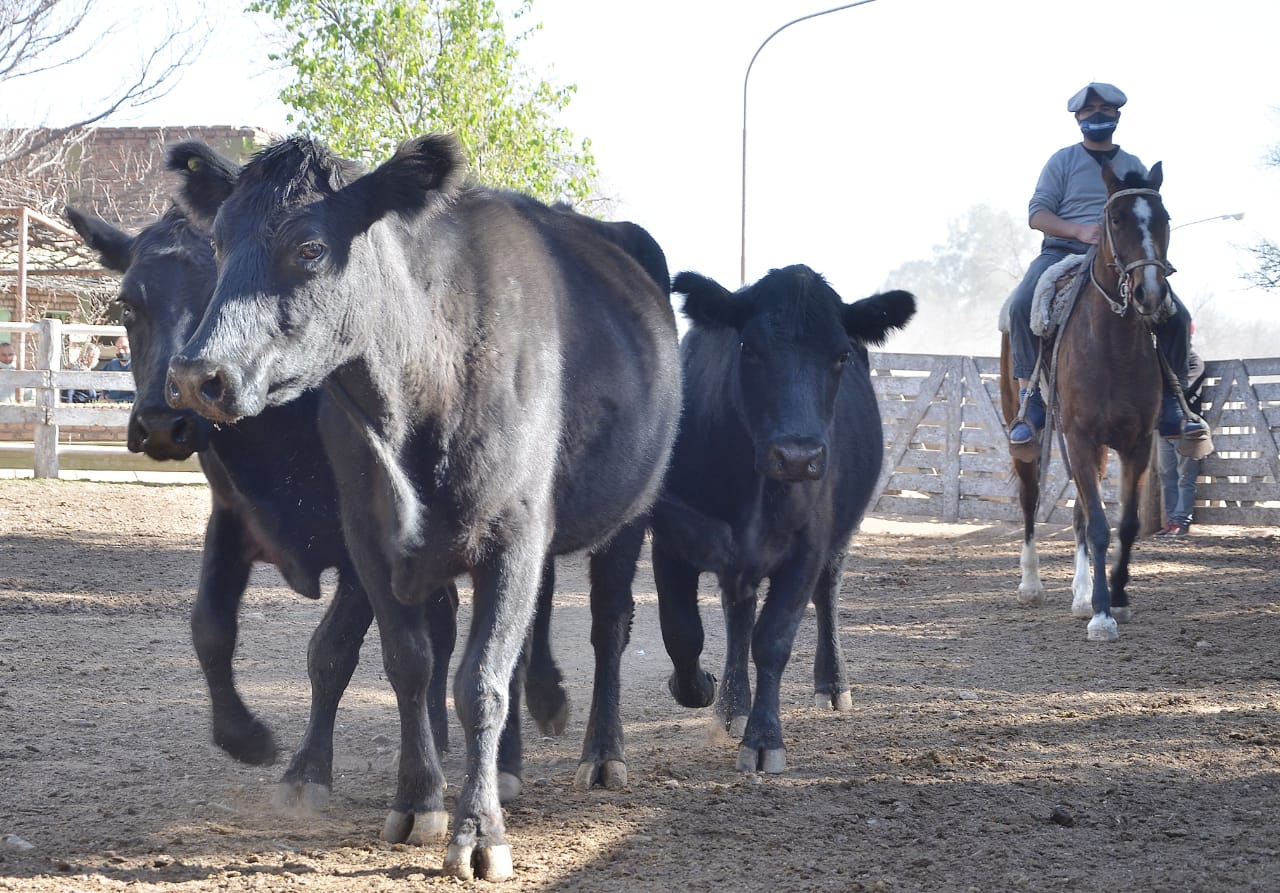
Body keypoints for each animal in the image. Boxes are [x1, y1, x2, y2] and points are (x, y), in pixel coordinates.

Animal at [64, 200, 461, 812]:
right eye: (128, 305)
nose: (163, 421)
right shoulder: (230, 518)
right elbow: (209, 627)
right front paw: (242, 735)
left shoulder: (365, 546)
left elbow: (330, 652)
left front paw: (308, 769)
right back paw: (437, 735)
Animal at [163, 133, 681, 881]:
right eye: (220, 240)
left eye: (310, 246)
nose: (195, 374)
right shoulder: (371, 540)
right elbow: (411, 664)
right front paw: (419, 801)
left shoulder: (515, 535)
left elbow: (481, 682)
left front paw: (479, 832)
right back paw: (511, 769)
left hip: (629, 512)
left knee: (608, 625)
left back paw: (602, 754)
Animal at [651, 265, 915, 774]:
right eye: (749, 348)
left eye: (840, 355)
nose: (797, 456)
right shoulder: (670, 538)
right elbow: (683, 631)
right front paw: (699, 688)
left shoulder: (807, 549)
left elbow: (773, 641)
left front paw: (764, 738)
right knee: (736, 616)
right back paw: (732, 704)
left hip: (838, 537)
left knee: (826, 594)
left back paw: (832, 685)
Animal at [999, 162, 1174, 642]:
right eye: (1115, 219)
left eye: (1164, 217)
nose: (1151, 294)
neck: (1112, 347)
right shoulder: (1078, 438)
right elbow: (1097, 524)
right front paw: (1102, 614)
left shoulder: (1136, 443)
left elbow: (1124, 524)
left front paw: (1116, 598)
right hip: (1033, 438)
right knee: (1030, 499)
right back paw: (1032, 584)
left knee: (1078, 510)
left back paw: (1080, 594)